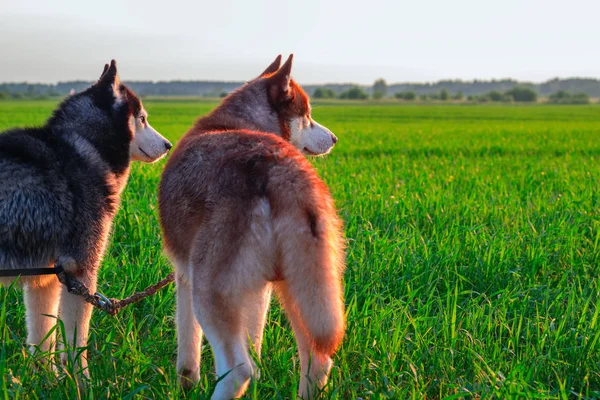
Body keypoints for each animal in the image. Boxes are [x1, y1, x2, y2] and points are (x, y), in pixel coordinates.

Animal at [158, 54, 346, 398]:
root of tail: (280, 168)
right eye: (307, 116)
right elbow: (255, 339)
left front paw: (186, 385)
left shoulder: (184, 276)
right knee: (318, 358)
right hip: (302, 285)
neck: (237, 121)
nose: (335, 138)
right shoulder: (260, 289)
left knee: (238, 369)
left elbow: (188, 348)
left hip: (209, 289)